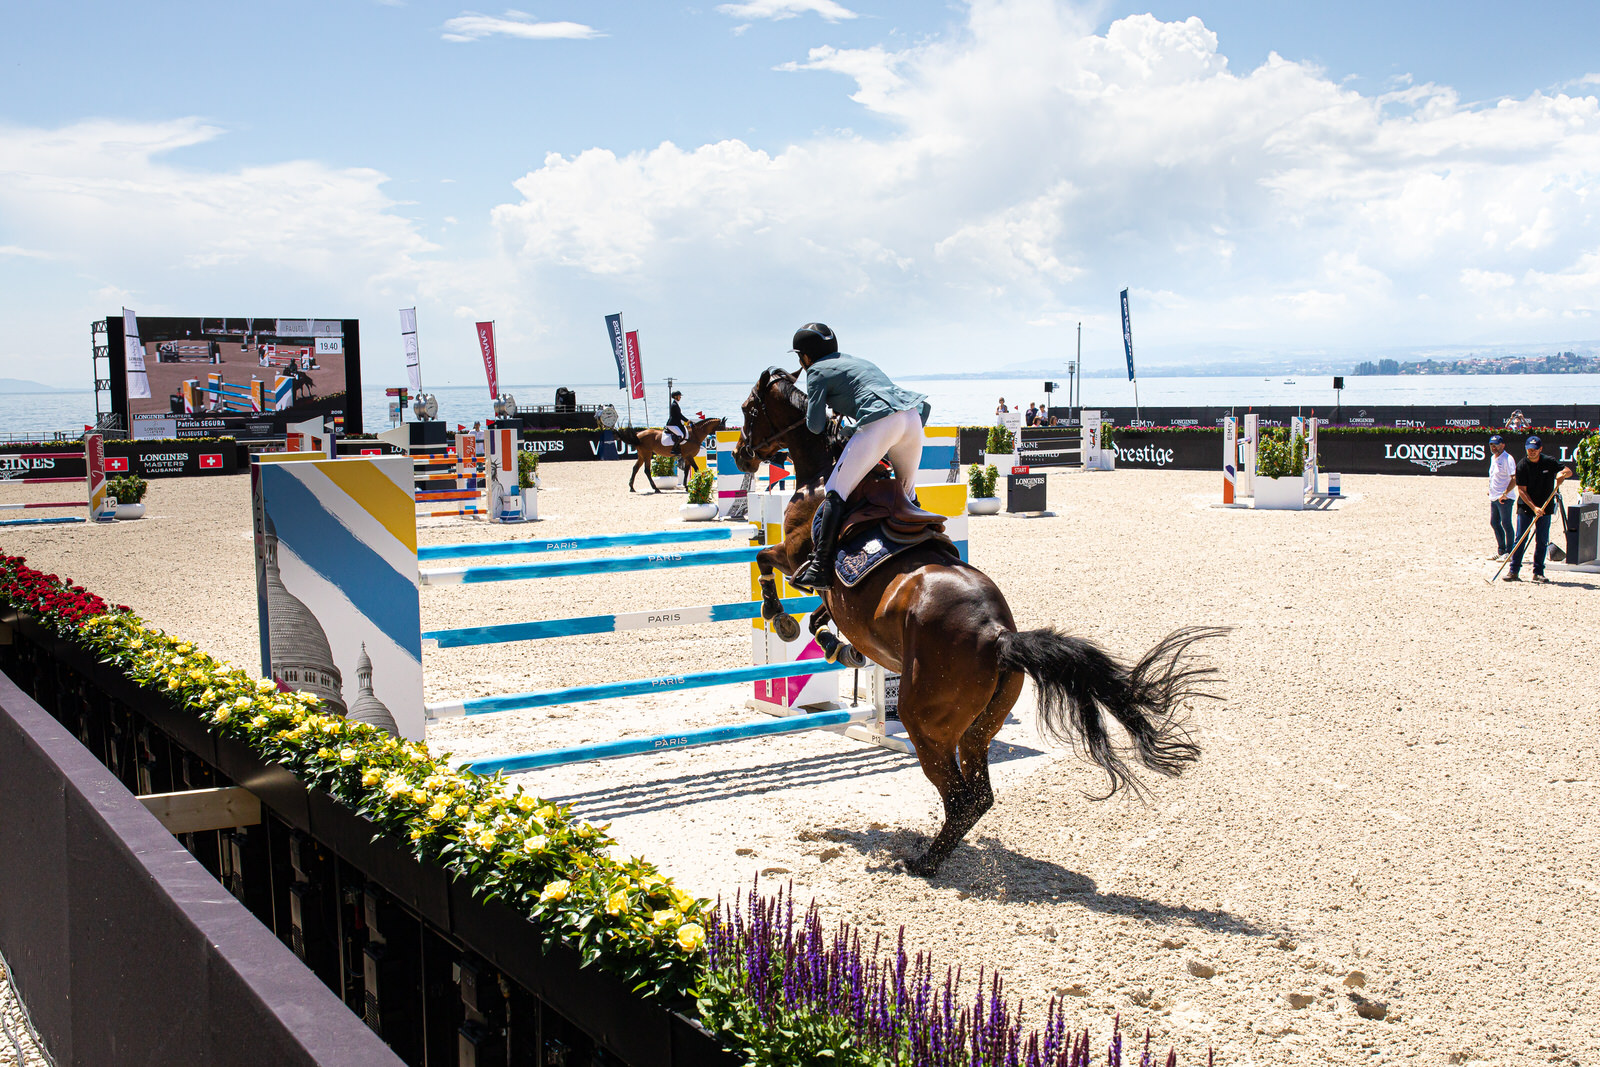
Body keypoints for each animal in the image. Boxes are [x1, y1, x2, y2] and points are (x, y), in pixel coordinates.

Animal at [736, 369, 1222, 876]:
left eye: (750, 409)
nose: (739, 453)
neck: (820, 474)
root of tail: (998, 636)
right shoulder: (836, 596)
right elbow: (820, 618)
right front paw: (837, 646)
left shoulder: (797, 557)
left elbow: (765, 558)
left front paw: (779, 618)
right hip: (977, 728)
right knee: (978, 796)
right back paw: (932, 855)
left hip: (926, 722)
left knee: (959, 797)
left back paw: (922, 864)